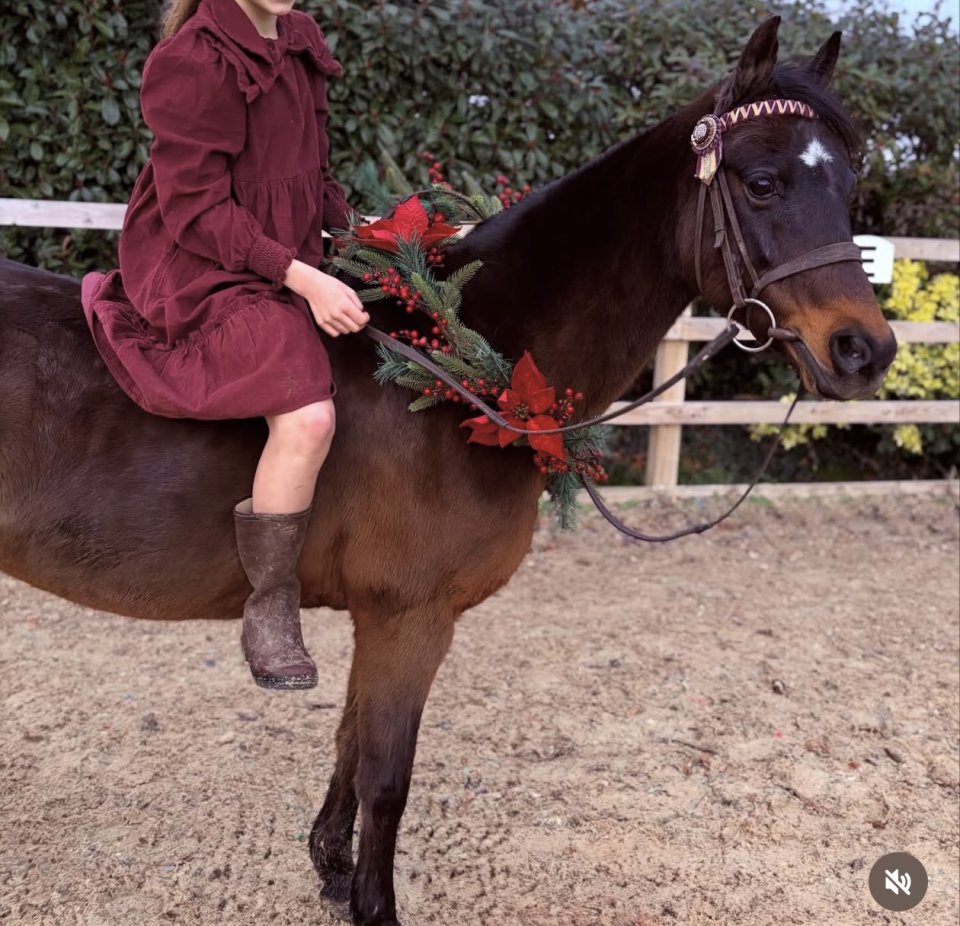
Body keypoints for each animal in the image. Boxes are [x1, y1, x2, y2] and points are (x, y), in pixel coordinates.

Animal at [0, 17, 896, 925]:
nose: (864, 351)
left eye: (849, 181)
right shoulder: (412, 616)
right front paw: (373, 904)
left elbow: (351, 743)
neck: (458, 372)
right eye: (762, 182)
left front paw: (331, 866)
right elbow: (387, 777)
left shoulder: (383, 619)